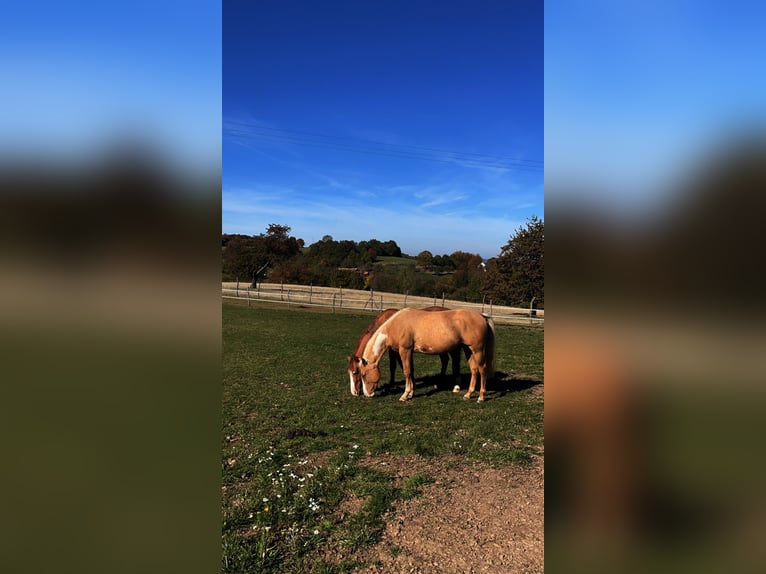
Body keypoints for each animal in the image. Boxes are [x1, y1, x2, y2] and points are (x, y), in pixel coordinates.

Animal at [356, 310, 496, 404]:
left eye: (363, 374)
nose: (367, 394)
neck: (396, 325)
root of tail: (482, 316)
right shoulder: (409, 352)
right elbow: (411, 371)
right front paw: (411, 394)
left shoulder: (405, 350)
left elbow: (407, 372)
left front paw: (404, 395)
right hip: (468, 349)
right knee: (474, 370)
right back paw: (468, 394)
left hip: (477, 350)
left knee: (482, 369)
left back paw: (481, 397)